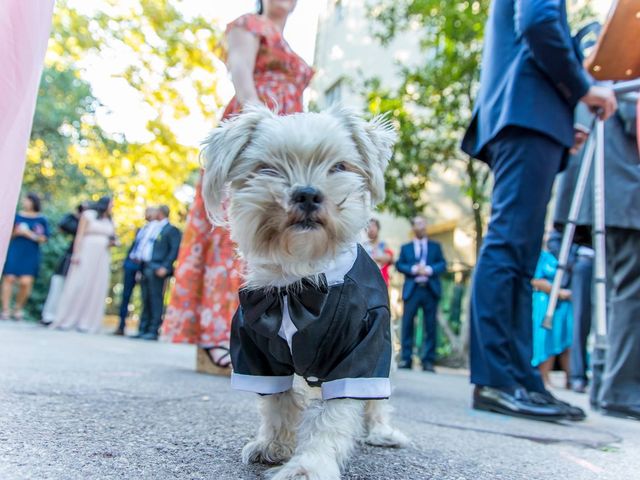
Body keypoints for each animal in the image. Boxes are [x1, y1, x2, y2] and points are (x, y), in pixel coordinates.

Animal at [202, 105, 408, 480]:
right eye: (266, 168)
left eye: (339, 167)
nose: (308, 193)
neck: (298, 284)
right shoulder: (258, 356)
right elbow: (278, 404)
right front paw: (274, 445)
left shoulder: (359, 354)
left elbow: (332, 417)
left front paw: (309, 465)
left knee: (376, 403)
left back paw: (382, 432)